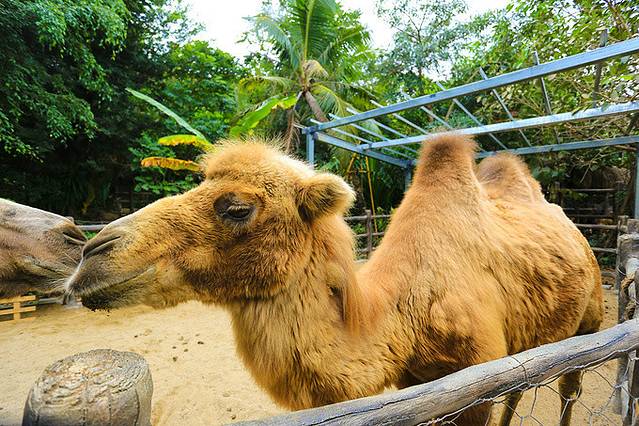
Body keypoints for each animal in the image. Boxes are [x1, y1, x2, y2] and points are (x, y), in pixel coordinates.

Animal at [66, 135, 602, 425]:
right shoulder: (422, 383)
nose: (91, 253)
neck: (402, 314)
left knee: (569, 386)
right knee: (521, 386)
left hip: (592, 315)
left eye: (236, 207)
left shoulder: (475, 385)